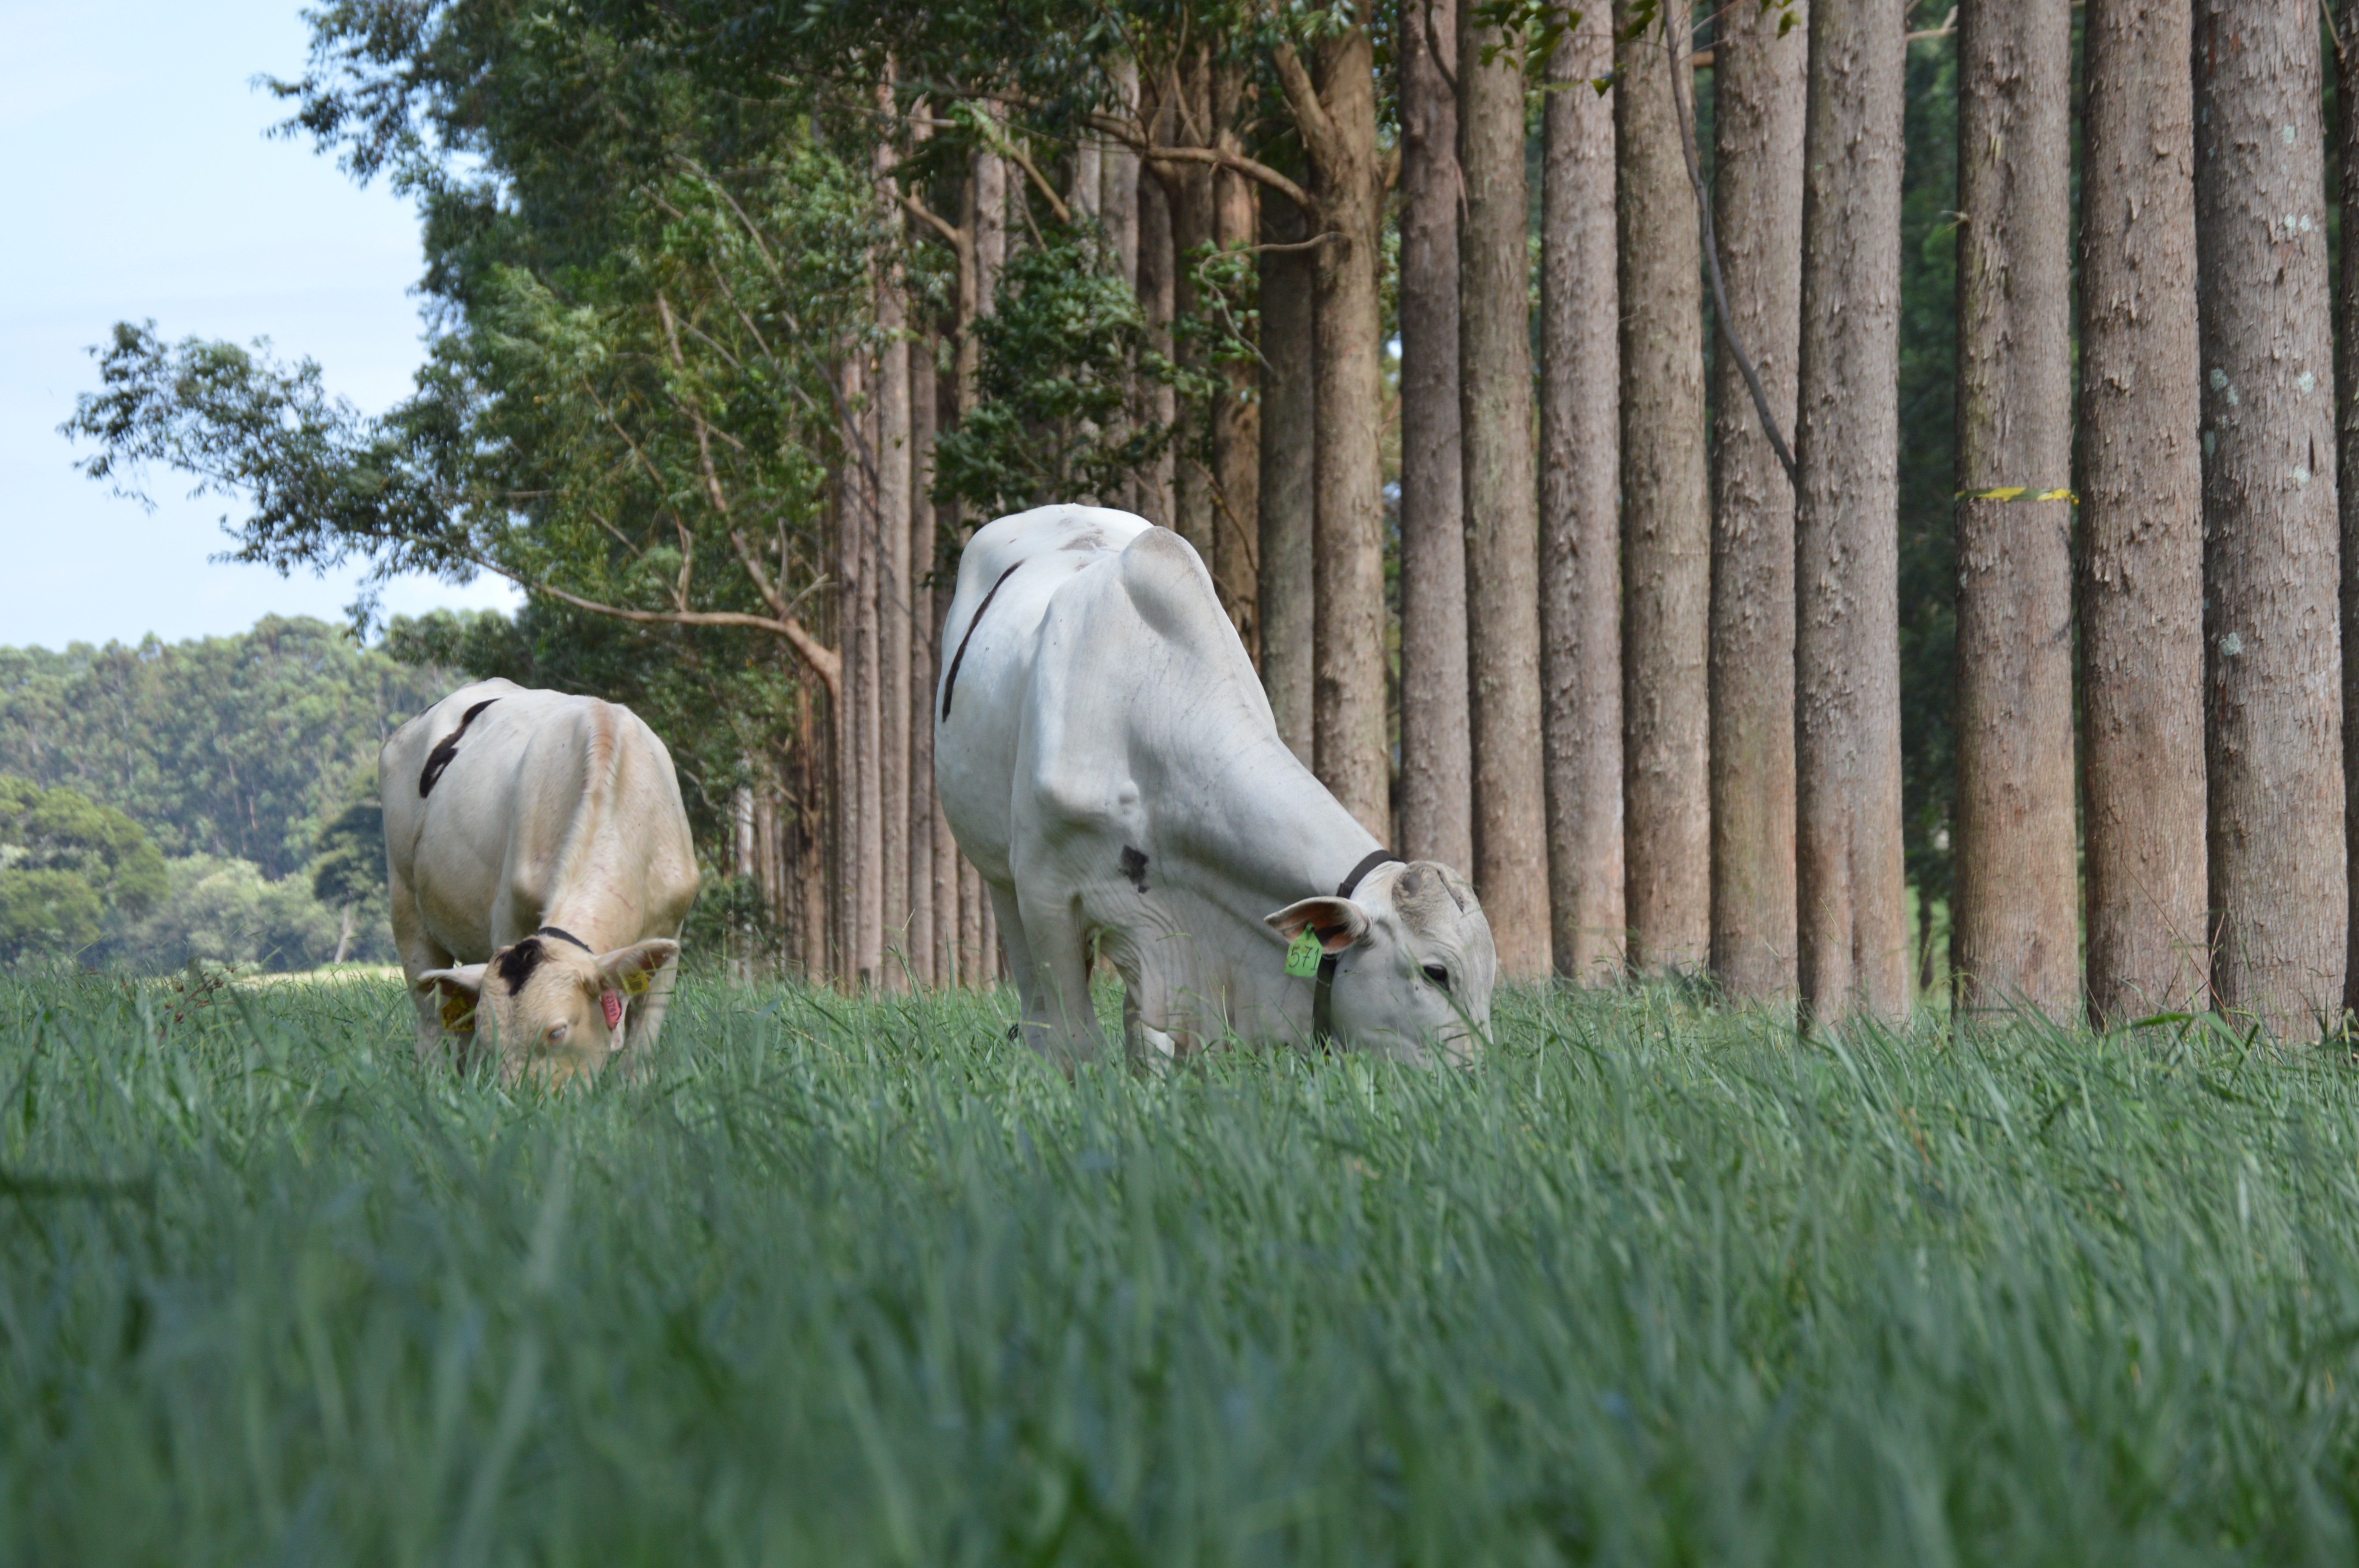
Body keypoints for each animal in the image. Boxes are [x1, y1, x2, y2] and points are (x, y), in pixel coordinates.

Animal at [379, 679, 698, 1084]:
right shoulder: (509, 920)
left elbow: (641, 1049)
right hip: (406, 906)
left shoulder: (671, 934)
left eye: (557, 1031)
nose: (520, 1097)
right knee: (431, 1020)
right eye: (493, 1037)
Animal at [934, 502, 1500, 1066]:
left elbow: (1153, 1036)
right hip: (998, 874)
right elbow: (1076, 1039)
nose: (1475, 1075)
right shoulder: (1044, 893)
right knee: (1033, 996)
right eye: (1436, 973)